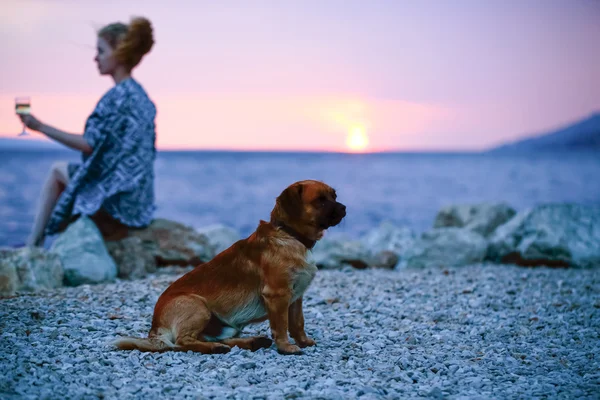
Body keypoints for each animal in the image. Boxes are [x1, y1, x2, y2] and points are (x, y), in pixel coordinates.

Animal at [113, 180, 346, 354]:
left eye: (334, 196)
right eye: (320, 201)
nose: (344, 208)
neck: (290, 234)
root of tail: (155, 328)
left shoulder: (295, 298)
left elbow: (297, 323)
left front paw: (303, 342)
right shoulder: (278, 296)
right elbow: (281, 326)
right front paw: (286, 347)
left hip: (226, 327)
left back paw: (251, 342)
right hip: (198, 306)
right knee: (183, 342)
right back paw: (216, 348)